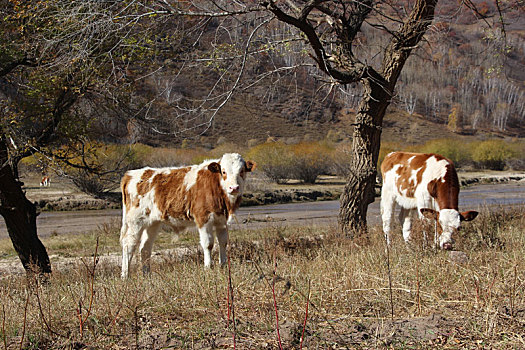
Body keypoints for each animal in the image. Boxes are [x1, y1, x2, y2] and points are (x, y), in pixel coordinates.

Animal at [119, 153, 258, 278]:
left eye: (242, 171)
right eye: (223, 172)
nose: (234, 188)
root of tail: (131, 174)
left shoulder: (221, 222)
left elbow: (223, 242)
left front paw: (223, 266)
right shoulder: (203, 219)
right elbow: (208, 244)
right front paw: (208, 268)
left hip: (152, 223)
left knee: (145, 248)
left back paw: (147, 275)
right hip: (135, 221)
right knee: (128, 246)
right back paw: (125, 276)